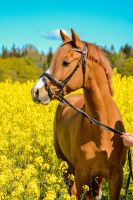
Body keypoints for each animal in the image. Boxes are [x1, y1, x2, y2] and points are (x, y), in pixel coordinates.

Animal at [31, 28, 128, 199]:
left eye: (66, 62)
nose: (36, 91)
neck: (103, 129)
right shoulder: (81, 175)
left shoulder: (116, 178)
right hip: (66, 166)